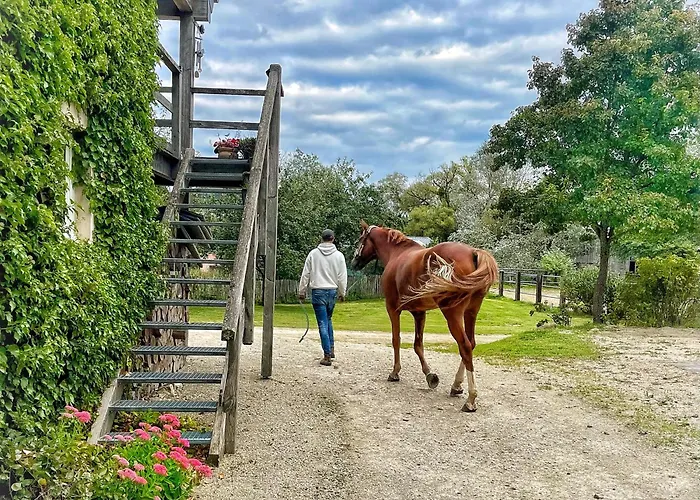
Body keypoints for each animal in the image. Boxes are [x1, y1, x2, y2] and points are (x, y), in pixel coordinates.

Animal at [350, 221, 499, 412]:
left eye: (360, 239)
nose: (354, 262)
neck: (397, 254)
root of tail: (473, 252)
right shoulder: (419, 313)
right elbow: (418, 345)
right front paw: (430, 376)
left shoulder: (392, 309)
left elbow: (396, 340)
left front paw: (395, 372)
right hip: (471, 312)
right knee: (471, 343)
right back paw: (456, 385)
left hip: (453, 313)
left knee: (465, 346)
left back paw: (470, 399)